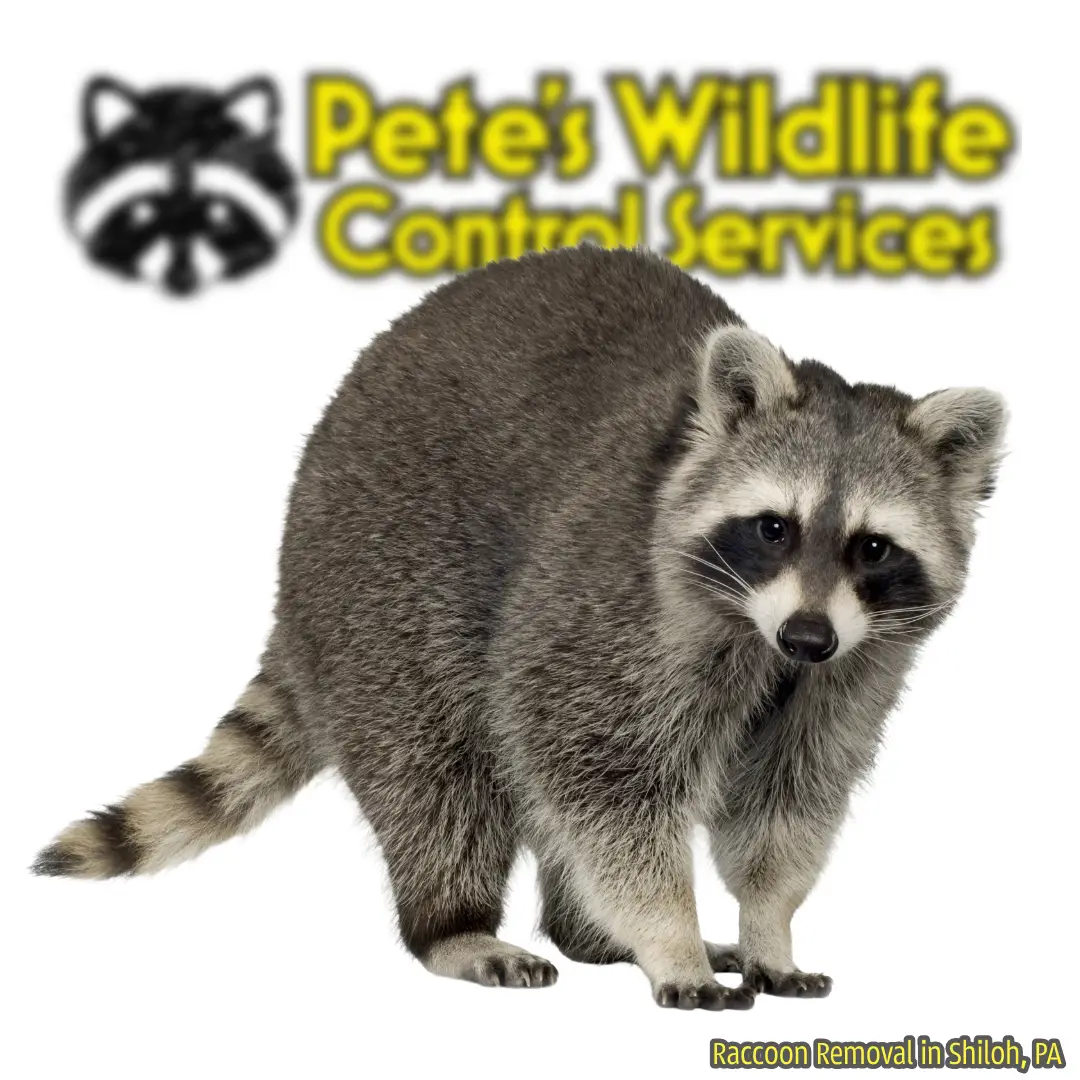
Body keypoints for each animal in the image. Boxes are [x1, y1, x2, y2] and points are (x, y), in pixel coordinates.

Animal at [33, 246, 1006, 1010]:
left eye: (872, 546)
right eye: (774, 527)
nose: (806, 638)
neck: (757, 630)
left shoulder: (856, 666)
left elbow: (789, 796)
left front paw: (768, 925)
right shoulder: (608, 607)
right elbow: (600, 775)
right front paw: (670, 934)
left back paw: (587, 932)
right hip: (376, 585)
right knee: (436, 772)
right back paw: (454, 924)